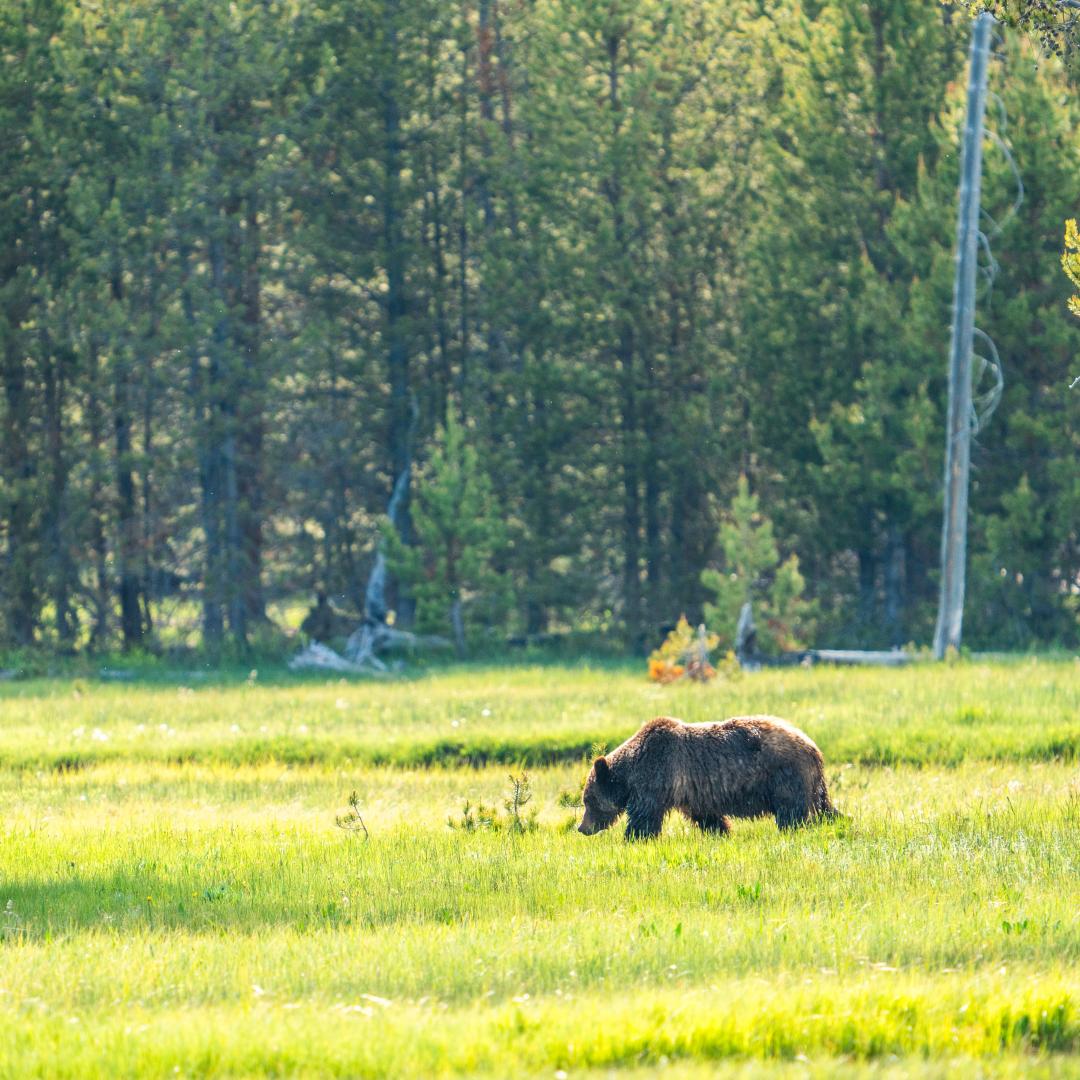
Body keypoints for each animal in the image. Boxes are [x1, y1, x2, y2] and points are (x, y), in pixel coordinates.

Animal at [577, 714, 834, 840]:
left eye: (588, 800)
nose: (582, 827)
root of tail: (813, 747)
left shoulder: (657, 777)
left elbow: (644, 816)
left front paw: (634, 838)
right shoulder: (690, 790)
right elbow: (706, 815)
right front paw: (722, 832)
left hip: (784, 776)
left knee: (791, 812)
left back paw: (791, 830)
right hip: (810, 782)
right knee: (824, 807)